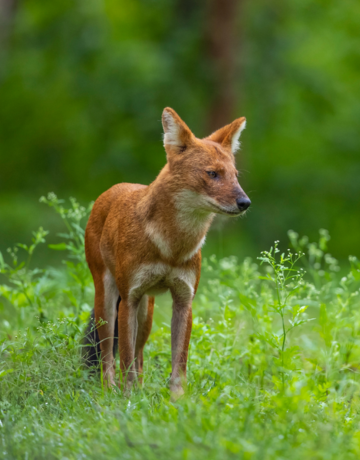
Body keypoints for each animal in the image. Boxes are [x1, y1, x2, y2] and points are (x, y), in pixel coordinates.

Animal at [83, 107, 250, 396]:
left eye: (235, 175)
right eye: (212, 174)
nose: (245, 202)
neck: (171, 246)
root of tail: (112, 190)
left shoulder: (184, 299)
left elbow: (178, 364)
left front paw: (178, 401)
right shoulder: (129, 298)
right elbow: (123, 357)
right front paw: (127, 400)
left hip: (146, 312)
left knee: (139, 356)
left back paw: (141, 391)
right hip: (109, 301)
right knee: (108, 355)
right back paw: (110, 390)